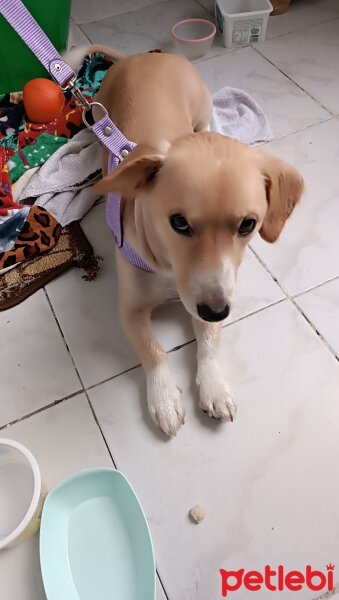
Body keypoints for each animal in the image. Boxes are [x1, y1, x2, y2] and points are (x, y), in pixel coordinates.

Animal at [71, 45, 306, 436]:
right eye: (178, 222)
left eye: (248, 225)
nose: (215, 310)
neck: (168, 266)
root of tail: (141, 56)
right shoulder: (130, 309)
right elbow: (153, 348)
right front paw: (164, 396)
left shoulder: (219, 292)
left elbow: (209, 340)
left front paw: (214, 384)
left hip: (201, 104)